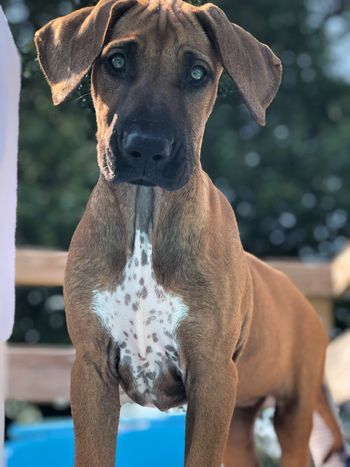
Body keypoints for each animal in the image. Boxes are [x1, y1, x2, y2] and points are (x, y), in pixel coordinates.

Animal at [34, 0, 346, 467]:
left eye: (198, 73)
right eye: (117, 61)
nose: (147, 147)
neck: (146, 219)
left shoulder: (211, 373)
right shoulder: (91, 370)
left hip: (292, 411)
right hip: (239, 424)